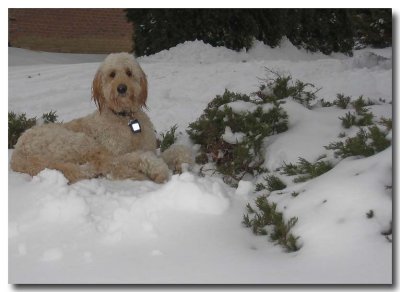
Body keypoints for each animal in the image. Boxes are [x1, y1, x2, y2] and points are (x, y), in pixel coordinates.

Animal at [11, 53, 194, 182]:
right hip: (80, 142)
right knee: (105, 164)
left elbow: (179, 149)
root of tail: (17, 154)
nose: (122, 88)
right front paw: (159, 169)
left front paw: (183, 161)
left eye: (129, 72)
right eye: (112, 74)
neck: (125, 118)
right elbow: (137, 158)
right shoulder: (117, 153)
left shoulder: (149, 148)